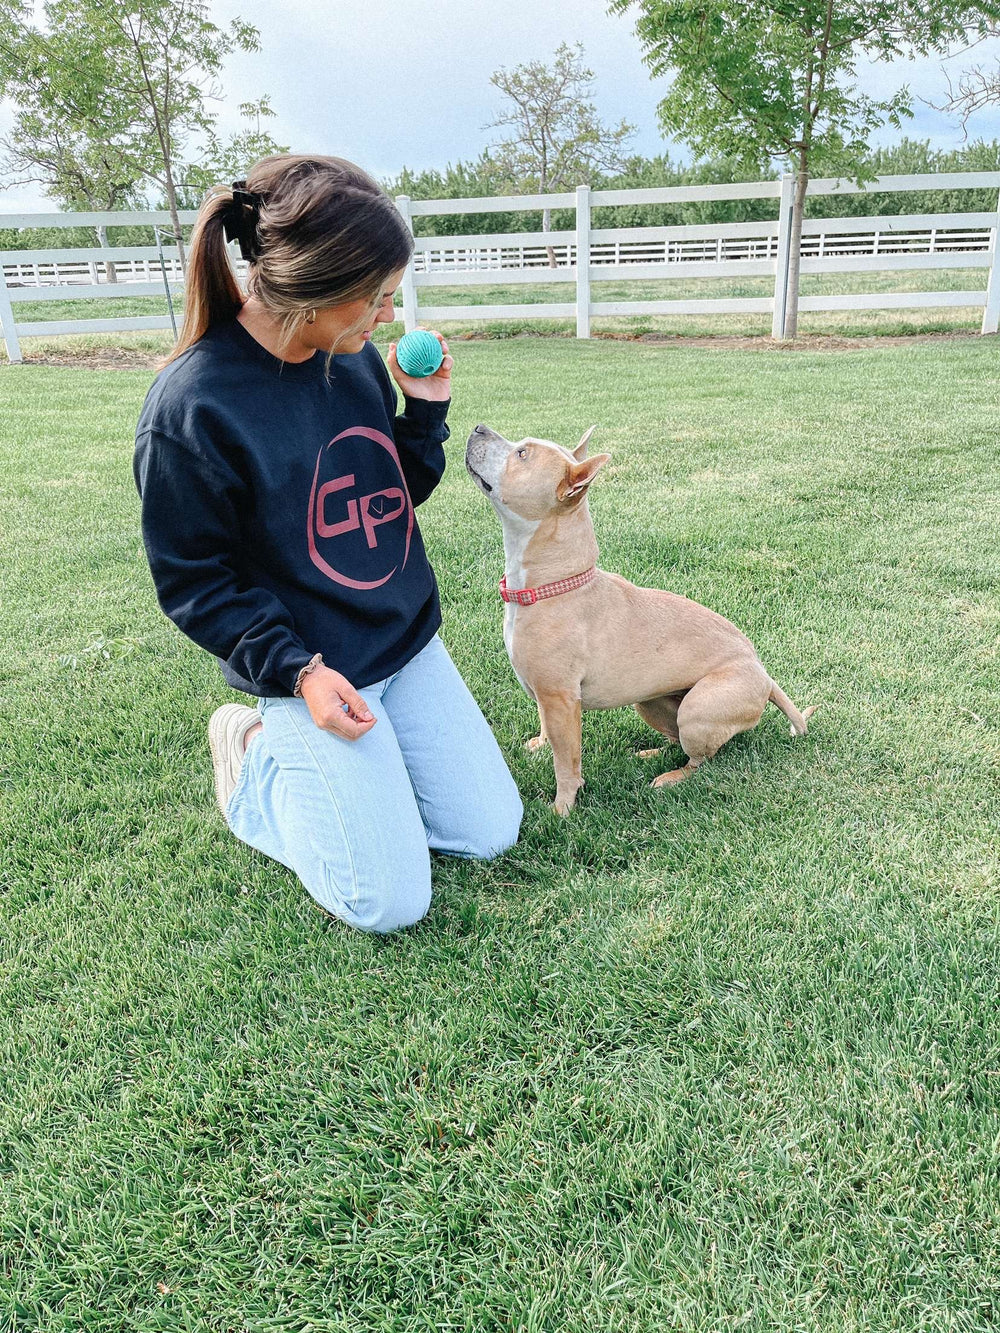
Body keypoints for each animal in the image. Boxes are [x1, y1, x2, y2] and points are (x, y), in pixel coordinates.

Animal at [466, 421, 816, 810]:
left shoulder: (561, 700)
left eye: (522, 454)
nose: (479, 428)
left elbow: (566, 762)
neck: (555, 584)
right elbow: (547, 730)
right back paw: (652, 753)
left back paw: (672, 777)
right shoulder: (549, 698)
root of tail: (764, 674)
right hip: (650, 703)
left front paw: (563, 808)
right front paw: (541, 746)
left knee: (701, 759)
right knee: (675, 738)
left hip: (699, 710)